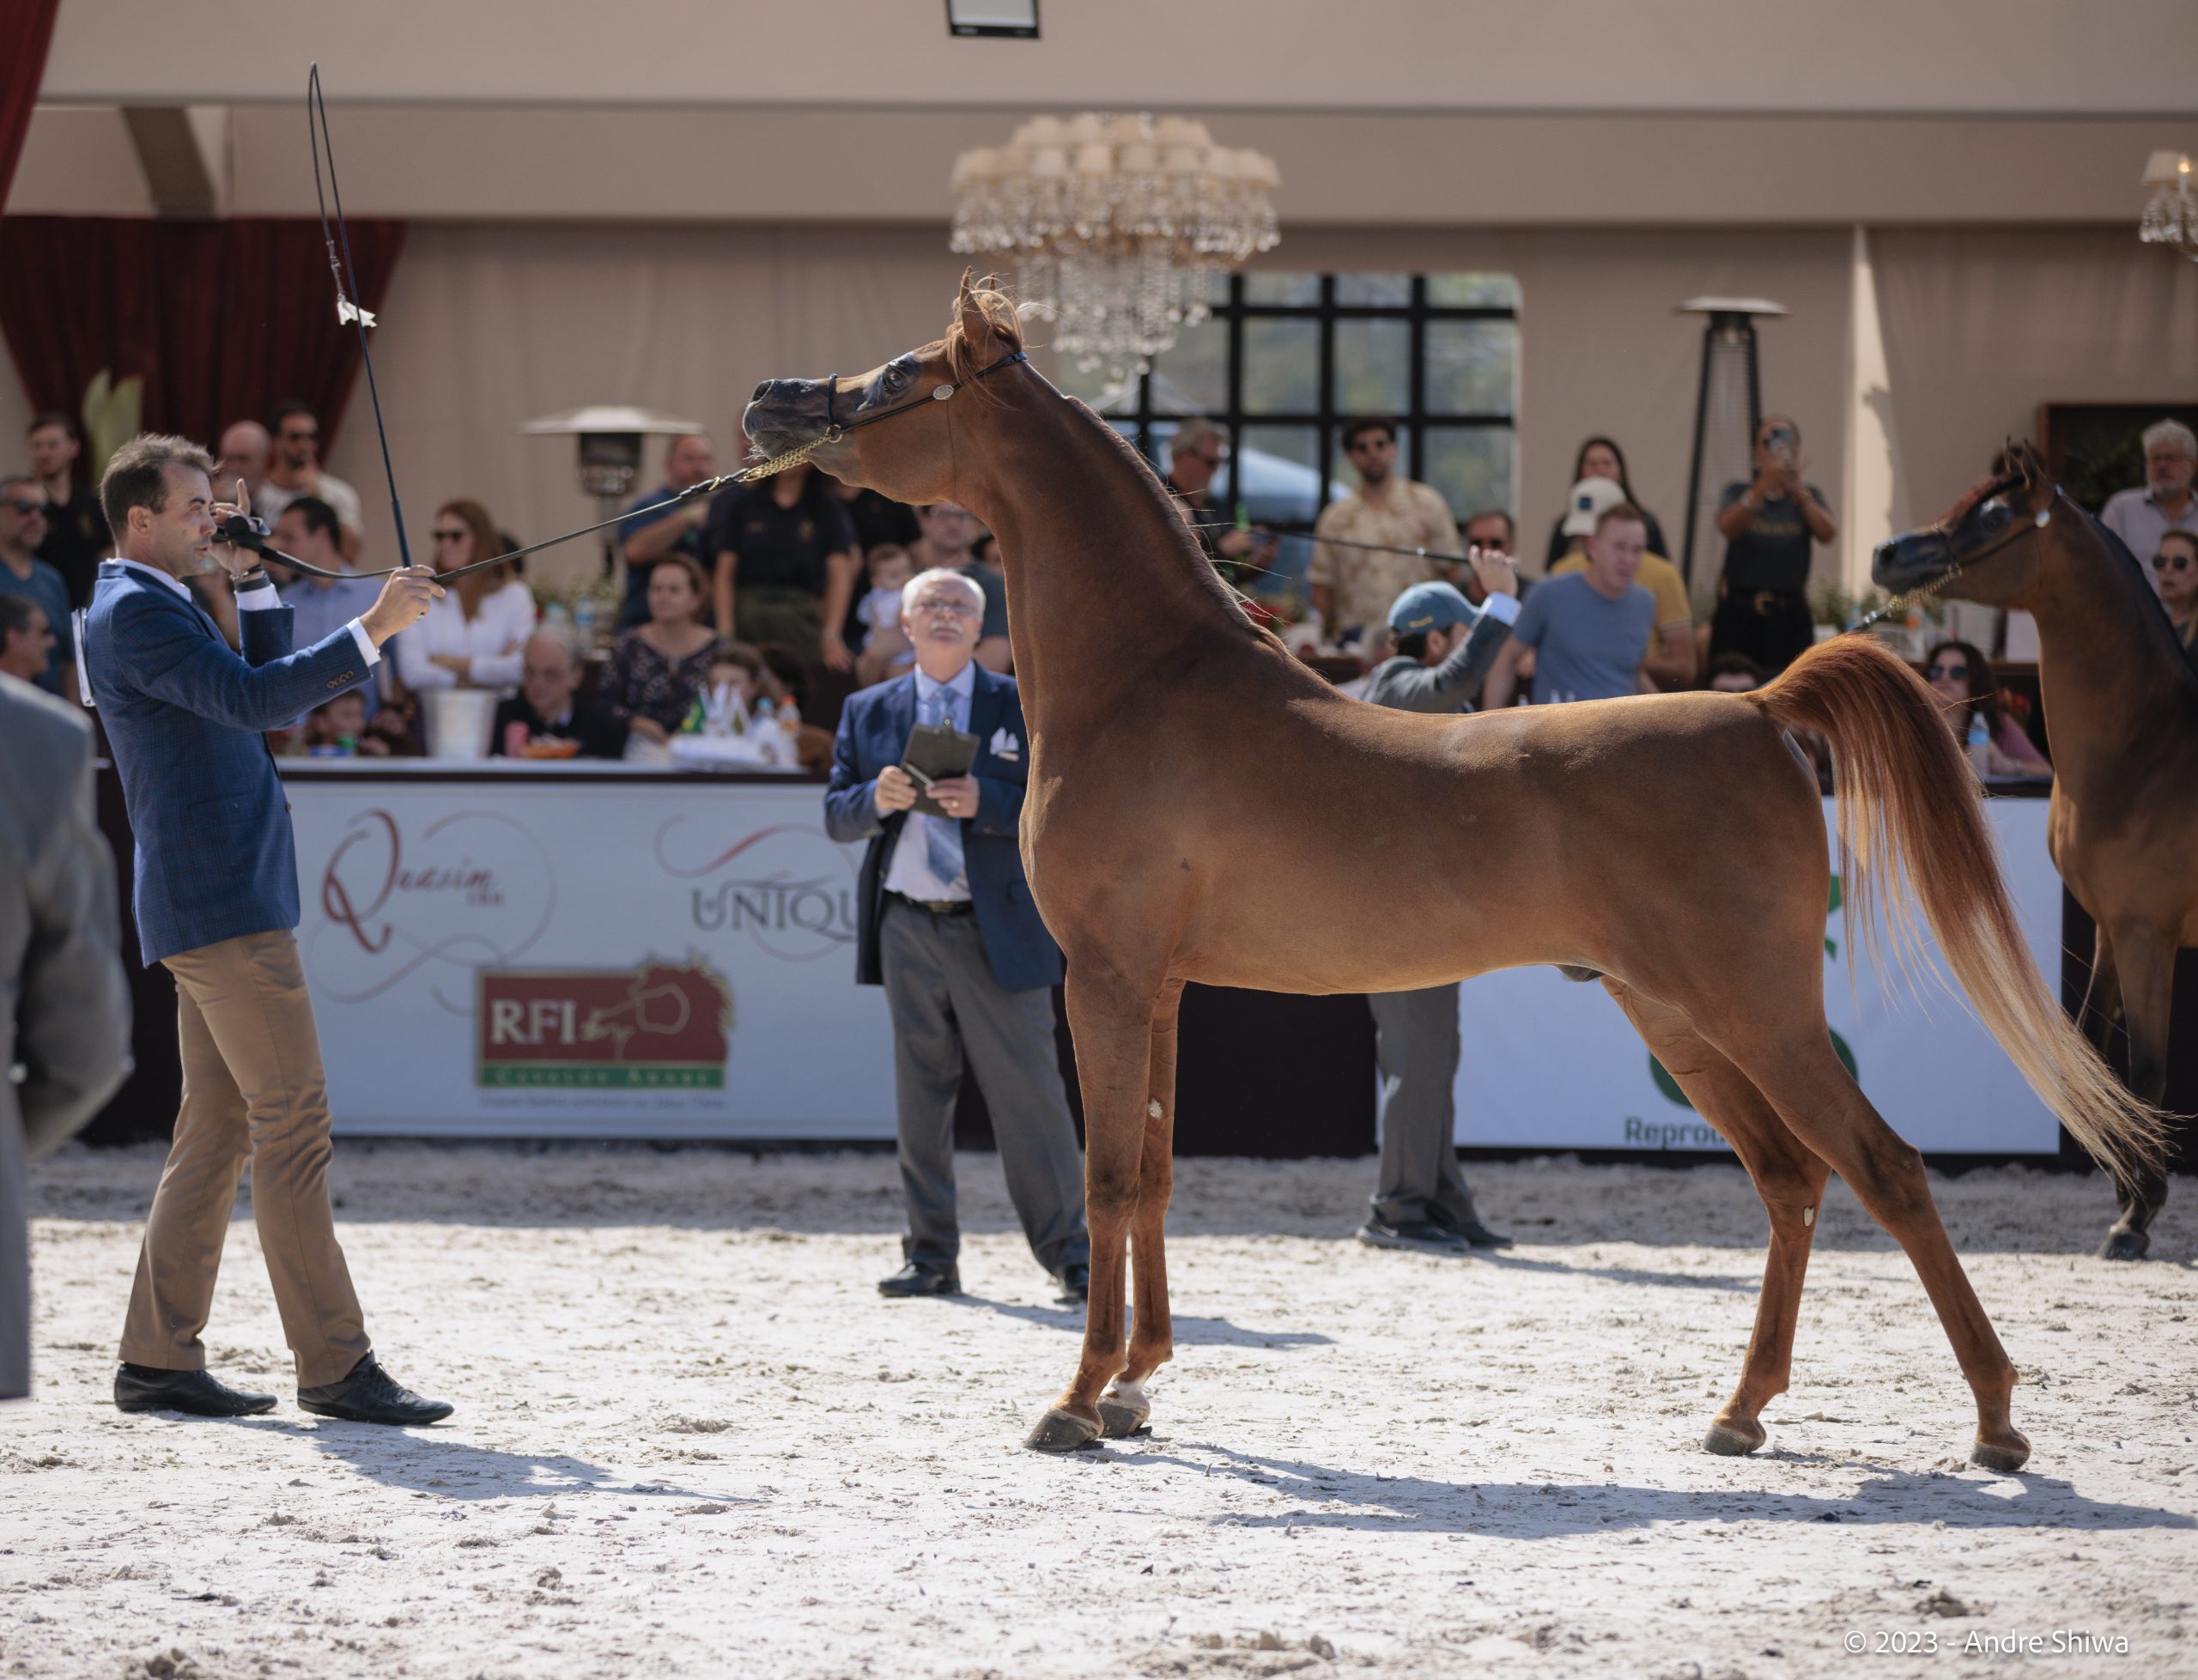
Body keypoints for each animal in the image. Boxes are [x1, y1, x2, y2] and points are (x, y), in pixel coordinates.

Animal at [742, 275, 2161, 1472]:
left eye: (899, 374)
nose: (772, 402)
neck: (1148, 683)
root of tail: (1760, 708)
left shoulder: (1103, 978)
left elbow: (1107, 1179)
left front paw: (1078, 1401)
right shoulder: (1159, 988)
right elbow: (1151, 1171)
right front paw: (1140, 1385)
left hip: (1759, 1010)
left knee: (1887, 1167)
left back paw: (1995, 1423)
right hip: (1678, 1016)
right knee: (1792, 1180)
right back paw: (1743, 1412)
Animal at [1875, 447, 2196, 1260]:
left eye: (1993, 517)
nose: (1886, 553)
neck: (2148, 751)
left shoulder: (2147, 933)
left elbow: (2147, 1068)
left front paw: (2136, 1217)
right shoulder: (2111, 928)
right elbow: (2089, 1052)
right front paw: (2128, 1192)